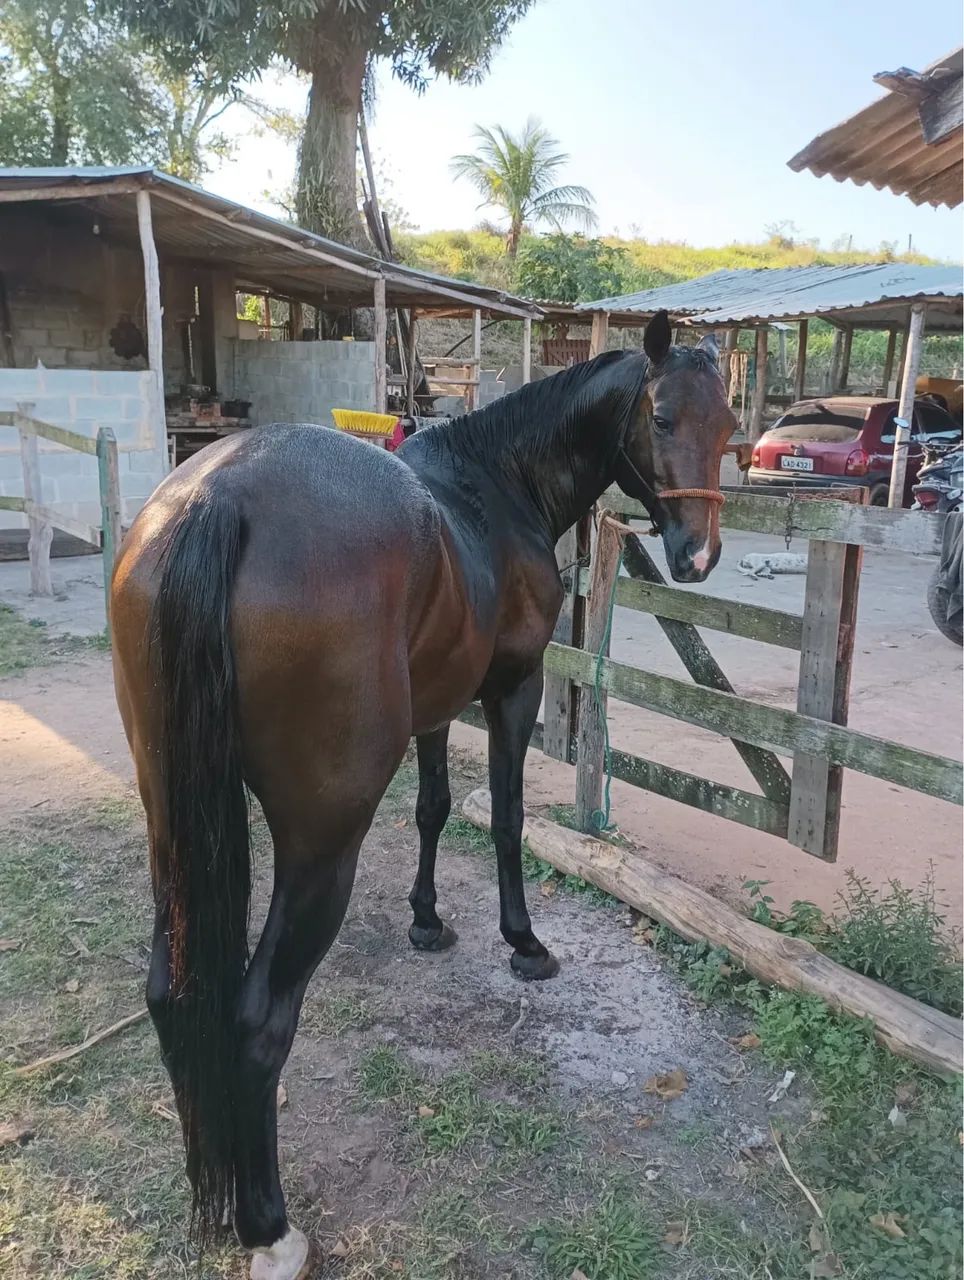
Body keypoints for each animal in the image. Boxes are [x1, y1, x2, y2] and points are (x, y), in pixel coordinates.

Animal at [110, 310, 736, 1280]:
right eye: (663, 417)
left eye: (731, 425)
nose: (699, 556)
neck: (494, 484)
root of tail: (219, 496)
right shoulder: (511, 691)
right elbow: (509, 819)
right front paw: (523, 941)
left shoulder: (441, 706)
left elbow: (436, 809)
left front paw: (428, 919)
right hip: (319, 842)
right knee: (257, 1020)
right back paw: (269, 1229)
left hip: (171, 819)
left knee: (173, 995)